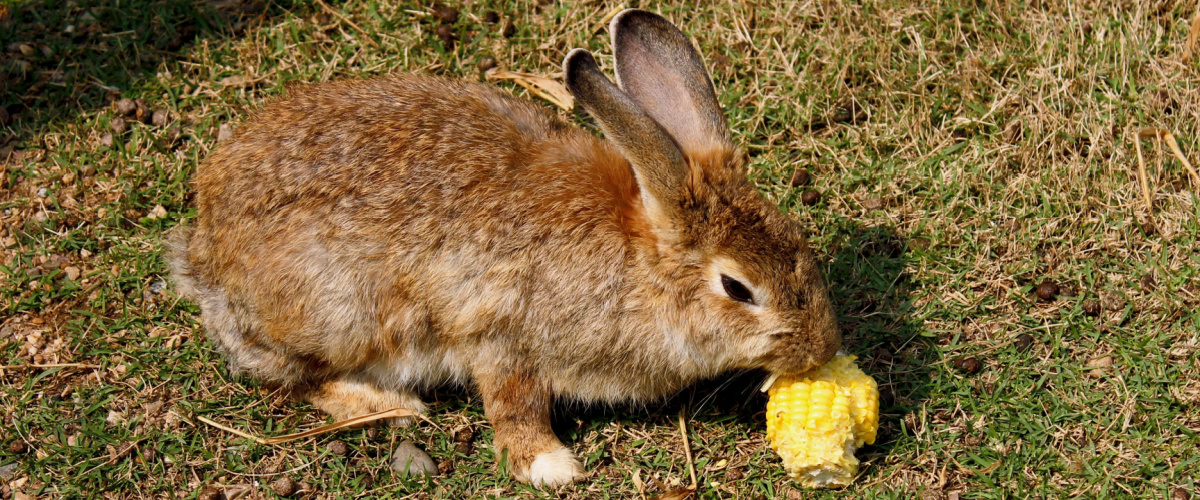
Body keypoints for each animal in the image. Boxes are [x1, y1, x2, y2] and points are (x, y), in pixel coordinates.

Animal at [166, 6, 844, 484]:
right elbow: (513, 406)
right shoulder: (502, 334)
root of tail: (202, 256)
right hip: (339, 310)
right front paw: (552, 467)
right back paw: (390, 404)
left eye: (799, 243)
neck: (638, 266)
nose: (823, 347)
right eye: (737, 288)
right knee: (290, 377)